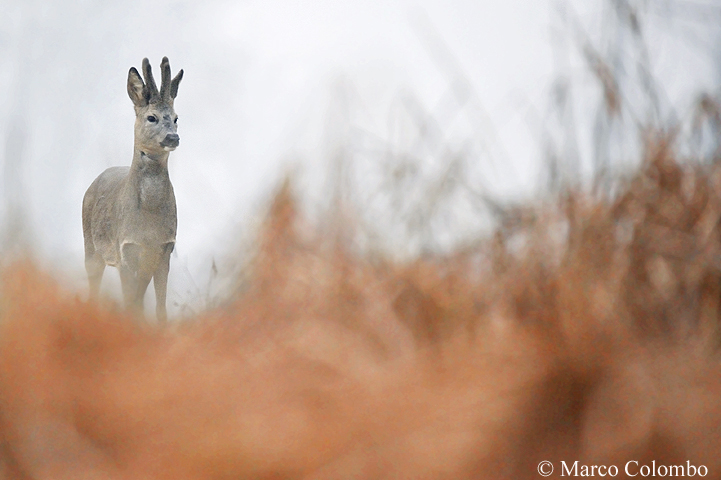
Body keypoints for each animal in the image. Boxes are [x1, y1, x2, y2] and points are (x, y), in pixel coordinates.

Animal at [82, 58, 184, 324]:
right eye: (151, 117)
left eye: (176, 118)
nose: (173, 137)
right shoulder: (125, 249)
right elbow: (130, 306)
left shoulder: (164, 249)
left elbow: (159, 309)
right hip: (91, 245)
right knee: (93, 285)